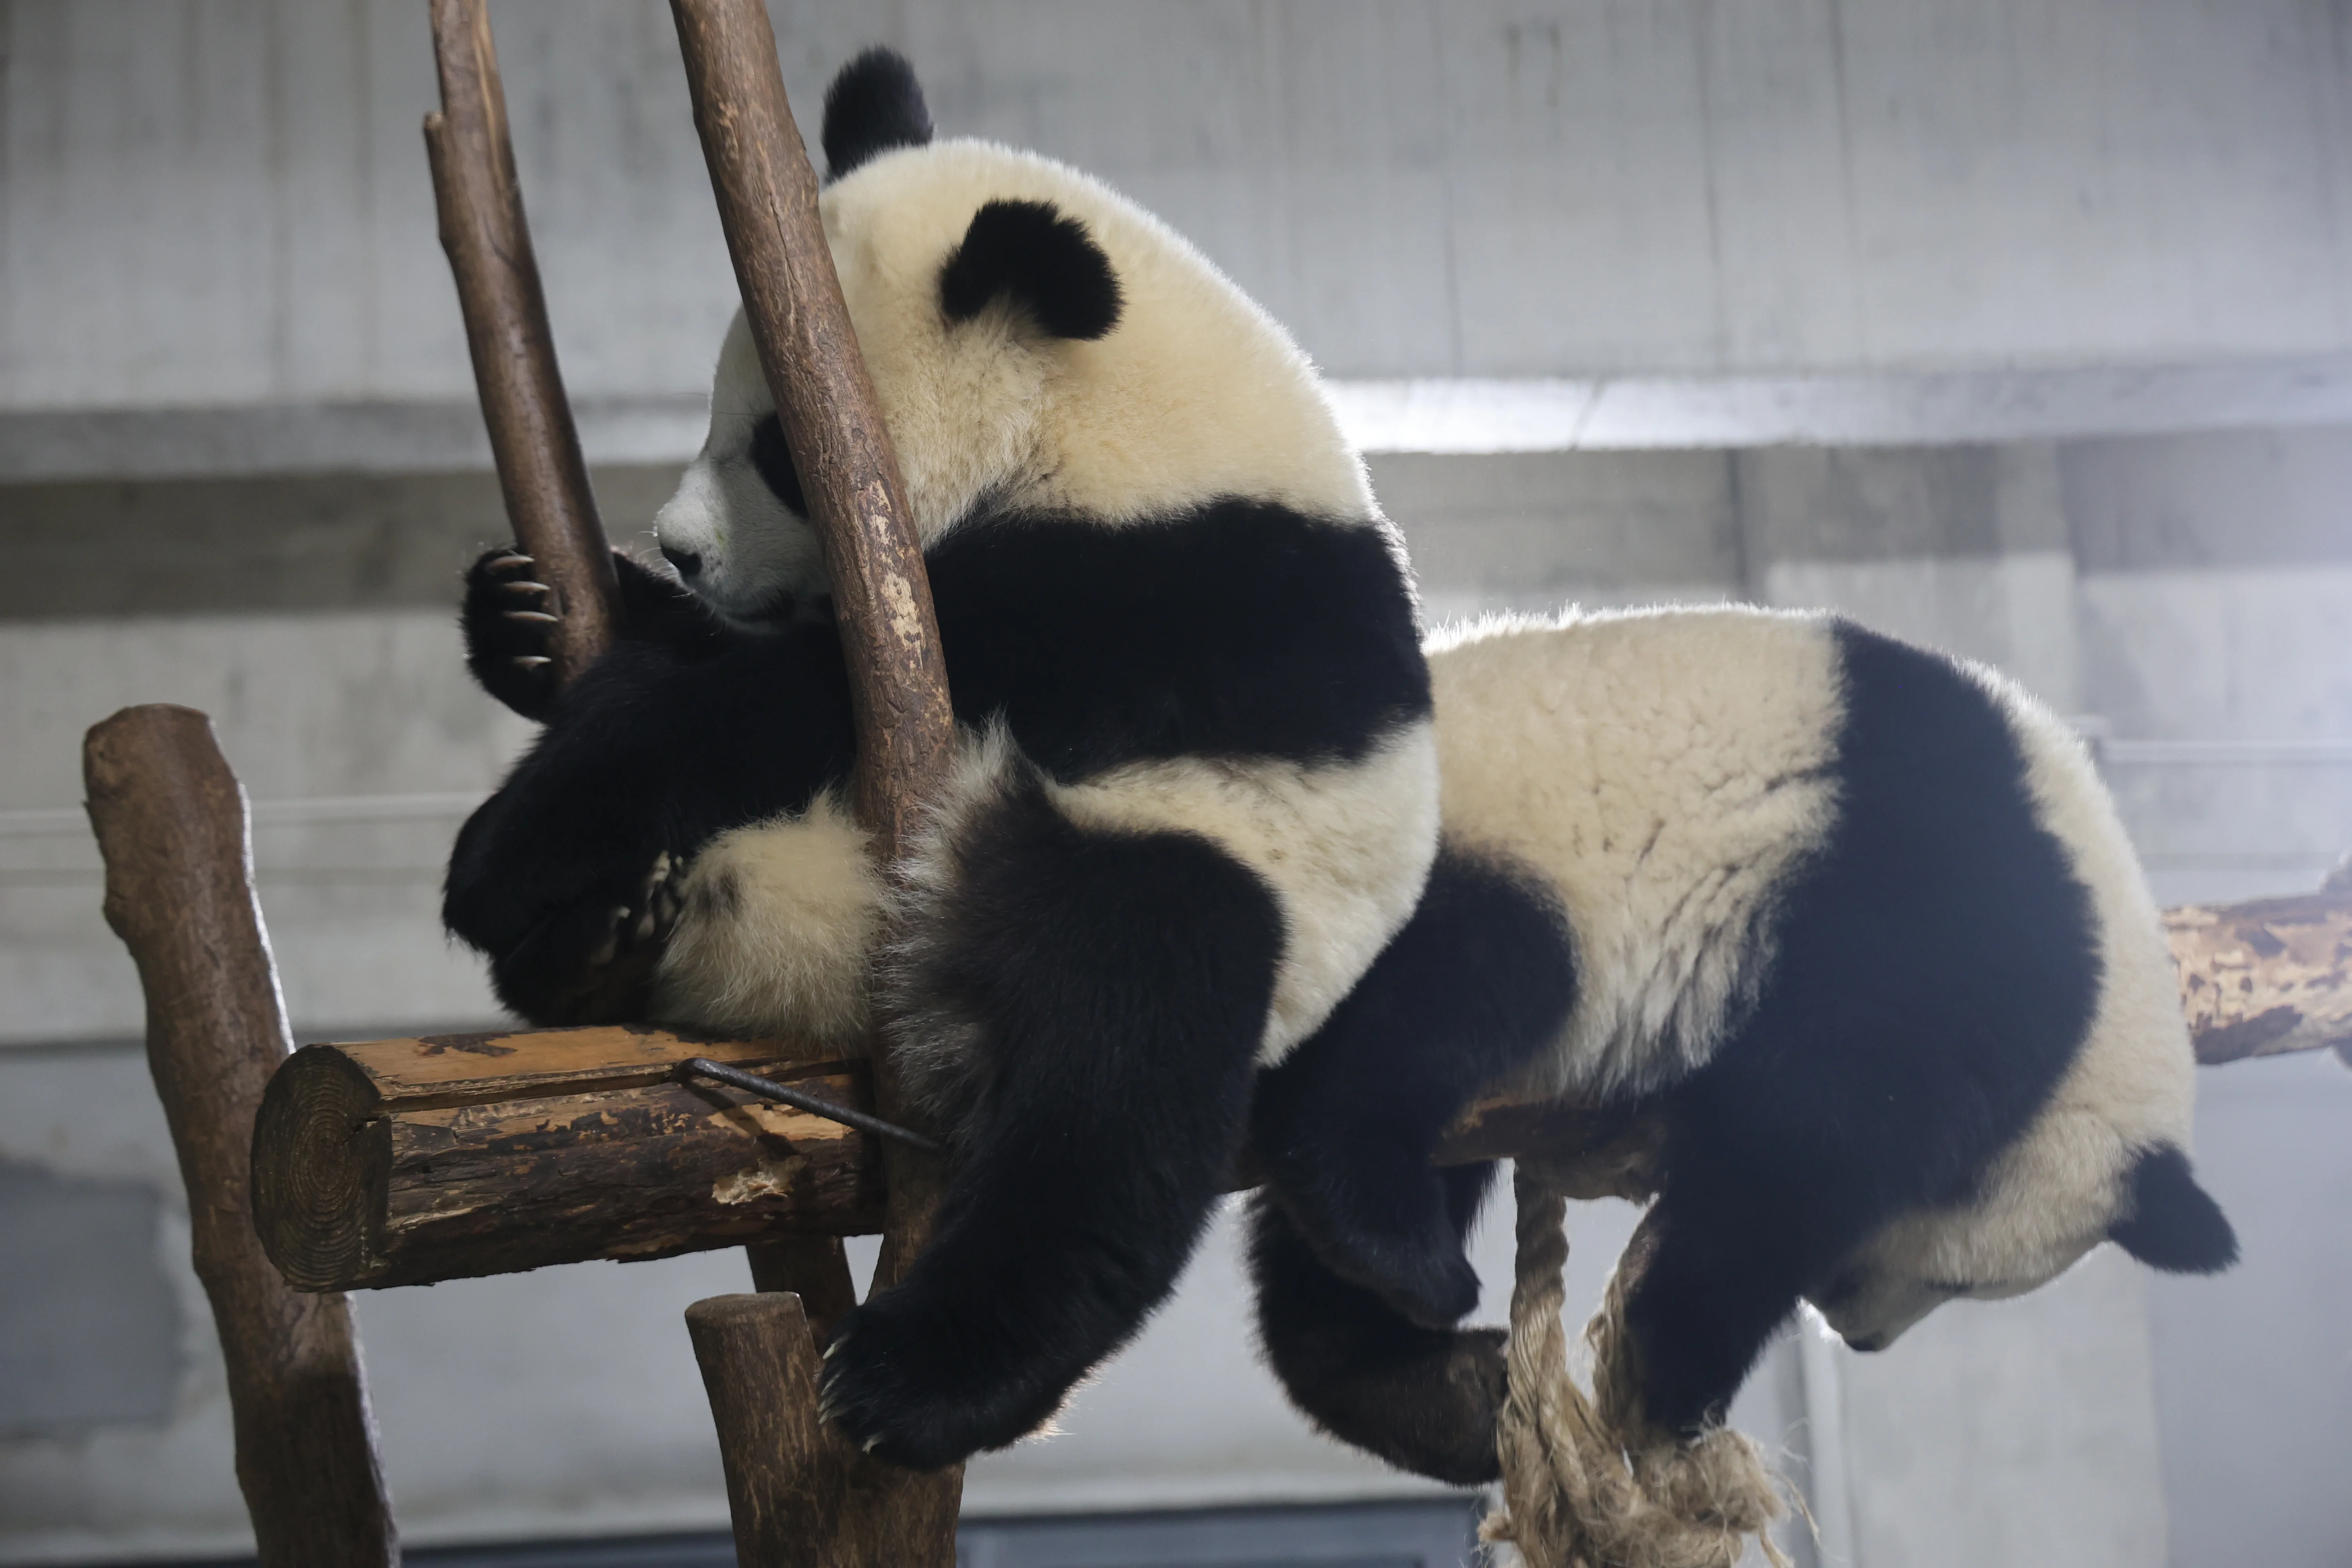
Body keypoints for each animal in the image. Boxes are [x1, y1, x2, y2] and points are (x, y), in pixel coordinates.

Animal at [443, 49, 1438, 1470]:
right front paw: (528, 618)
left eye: (780, 453)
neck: (1106, 419)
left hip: (1207, 865)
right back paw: (602, 943)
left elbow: (791, 693)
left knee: (1126, 1054)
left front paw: (503, 852)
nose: (682, 547)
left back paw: (921, 1376)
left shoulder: (1155, 590)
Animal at [1241, 605, 2239, 1485]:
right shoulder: (1937, 930)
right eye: (1958, 1285)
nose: (1860, 1335)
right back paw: (1397, 1248)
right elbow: (1805, 1143)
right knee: (1425, 1012)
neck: (2101, 981)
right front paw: (1674, 1373)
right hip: (1443, 864)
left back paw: (1429, 1383)